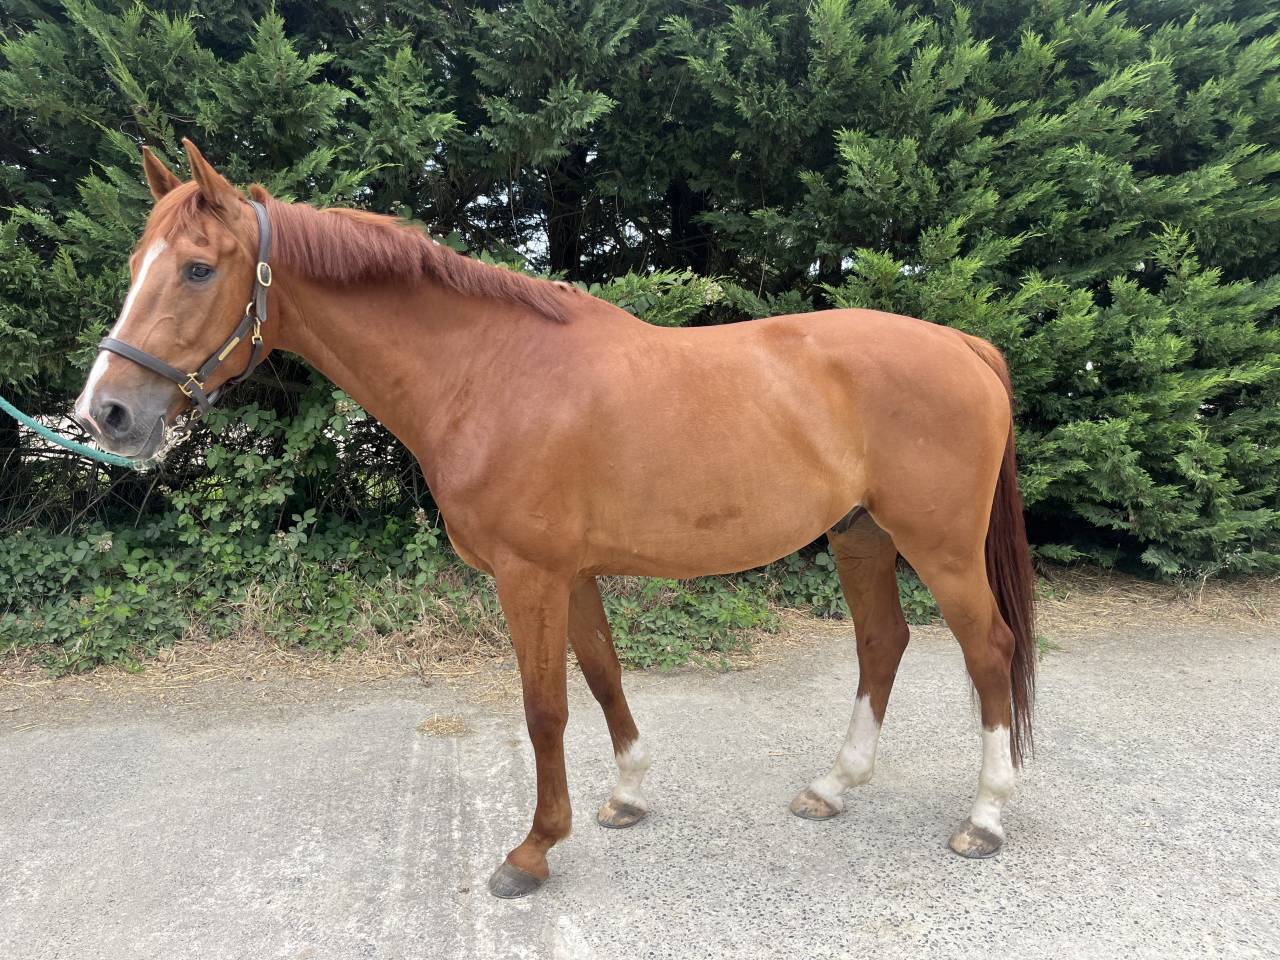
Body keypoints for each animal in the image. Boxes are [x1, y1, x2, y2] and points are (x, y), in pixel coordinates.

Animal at [72, 140, 1036, 899]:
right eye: (135, 265)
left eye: (198, 268)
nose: (105, 413)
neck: (489, 372)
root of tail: (963, 345)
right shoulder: (571, 574)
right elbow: (603, 678)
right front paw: (628, 796)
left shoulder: (527, 575)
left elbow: (544, 708)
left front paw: (532, 851)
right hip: (860, 535)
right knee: (882, 644)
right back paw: (834, 785)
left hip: (941, 548)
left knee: (987, 650)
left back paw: (986, 815)